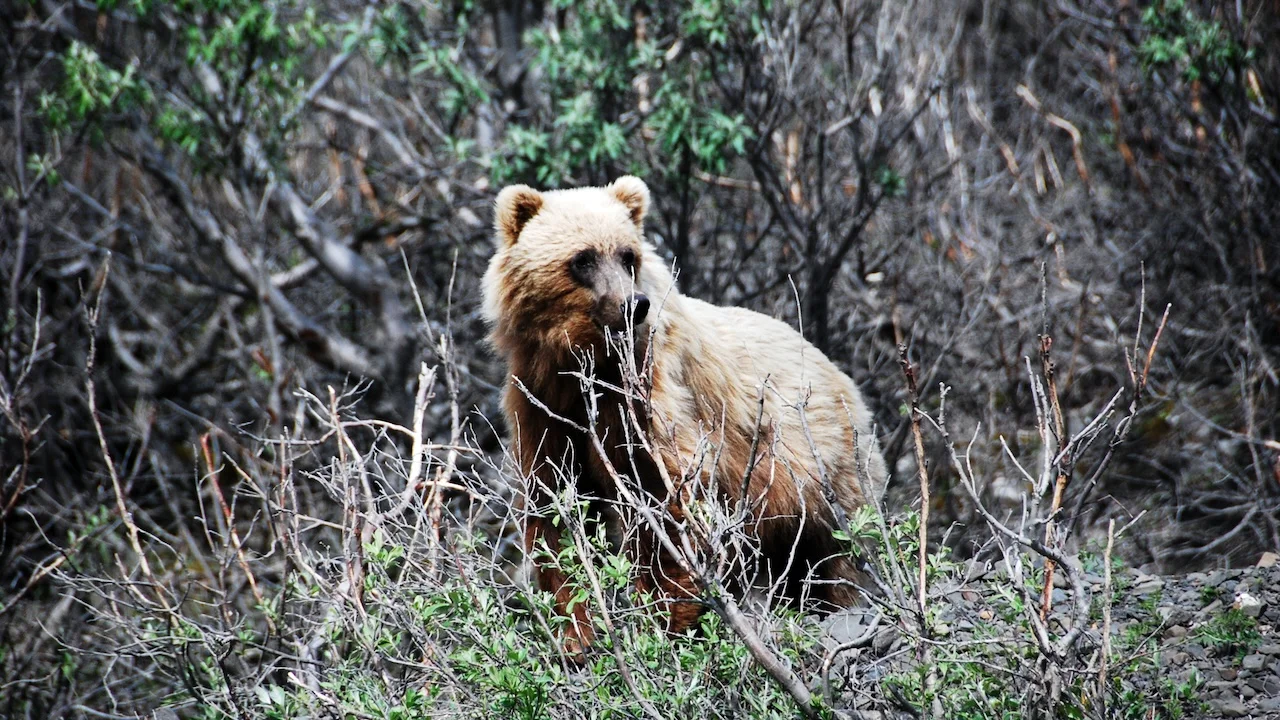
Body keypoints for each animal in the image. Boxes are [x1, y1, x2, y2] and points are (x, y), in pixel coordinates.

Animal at [483, 175, 885, 650]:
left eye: (628, 255)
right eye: (583, 259)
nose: (633, 304)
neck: (583, 363)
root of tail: (848, 384)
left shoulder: (647, 394)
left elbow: (666, 497)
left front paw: (666, 619)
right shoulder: (541, 402)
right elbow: (557, 501)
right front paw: (576, 633)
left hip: (821, 476)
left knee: (837, 559)